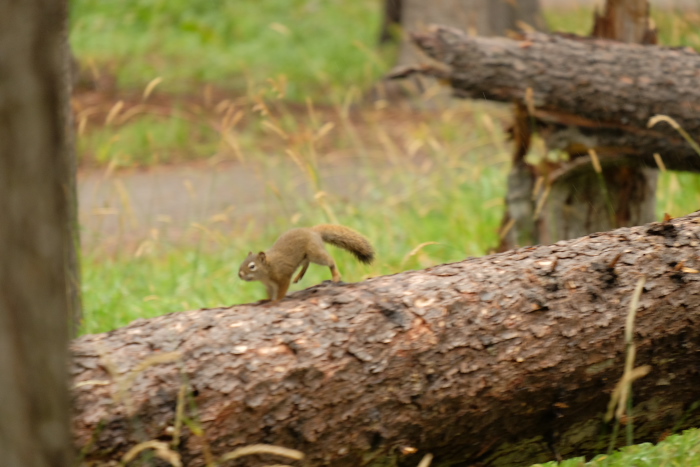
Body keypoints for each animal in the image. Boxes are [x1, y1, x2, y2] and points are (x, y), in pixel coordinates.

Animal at [238, 224, 374, 304]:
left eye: (252, 266)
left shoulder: (283, 277)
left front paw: (277, 300)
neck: (268, 270)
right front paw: (266, 299)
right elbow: (270, 293)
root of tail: (312, 231)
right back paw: (299, 276)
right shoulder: (268, 285)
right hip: (305, 256)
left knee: (330, 261)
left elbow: (282, 290)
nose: (240, 274)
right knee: (307, 263)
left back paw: (336, 275)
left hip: (315, 254)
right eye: (242, 262)